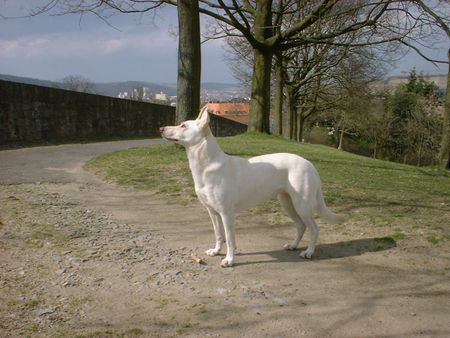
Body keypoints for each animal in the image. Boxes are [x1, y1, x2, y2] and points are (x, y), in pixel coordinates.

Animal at [159, 107, 344, 266]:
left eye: (183, 125)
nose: (161, 128)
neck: (206, 165)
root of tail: (310, 164)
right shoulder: (212, 212)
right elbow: (218, 234)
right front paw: (216, 251)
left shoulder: (227, 213)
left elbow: (229, 238)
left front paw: (229, 260)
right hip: (287, 203)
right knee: (301, 226)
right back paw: (293, 245)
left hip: (302, 206)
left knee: (314, 228)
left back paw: (309, 252)